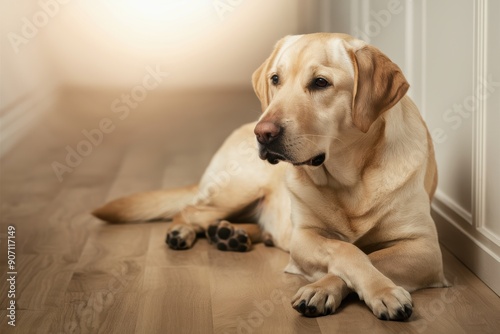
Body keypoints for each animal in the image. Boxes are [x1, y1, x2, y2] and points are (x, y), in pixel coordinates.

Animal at [92, 33, 448, 320]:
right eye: (275, 79)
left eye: (321, 83)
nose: (262, 133)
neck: (351, 179)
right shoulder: (305, 236)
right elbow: (347, 251)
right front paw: (372, 290)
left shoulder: (424, 248)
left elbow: (372, 257)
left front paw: (346, 290)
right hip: (240, 189)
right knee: (191, 210)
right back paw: (187, 231)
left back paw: (230, 234)